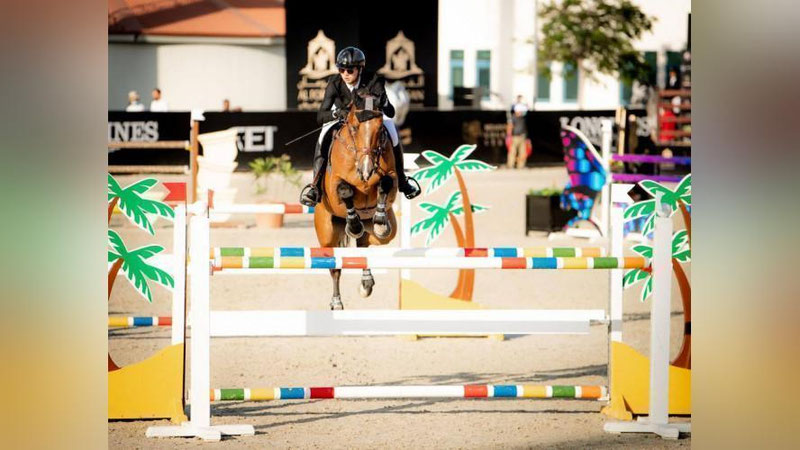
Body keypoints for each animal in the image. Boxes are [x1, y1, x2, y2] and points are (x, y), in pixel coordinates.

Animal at [314, 98, 399, 310]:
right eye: (353, 128)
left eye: (380, 129)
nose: (367, 169)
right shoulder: (335, 184)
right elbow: (345, 190)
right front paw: (353, 224)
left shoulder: (391, 177)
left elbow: (385, 183)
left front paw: (380, 219)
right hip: (327, 235)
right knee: (335, 266)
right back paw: (336, 302)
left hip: (381, 235)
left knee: (365, 244)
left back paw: (366, 282)